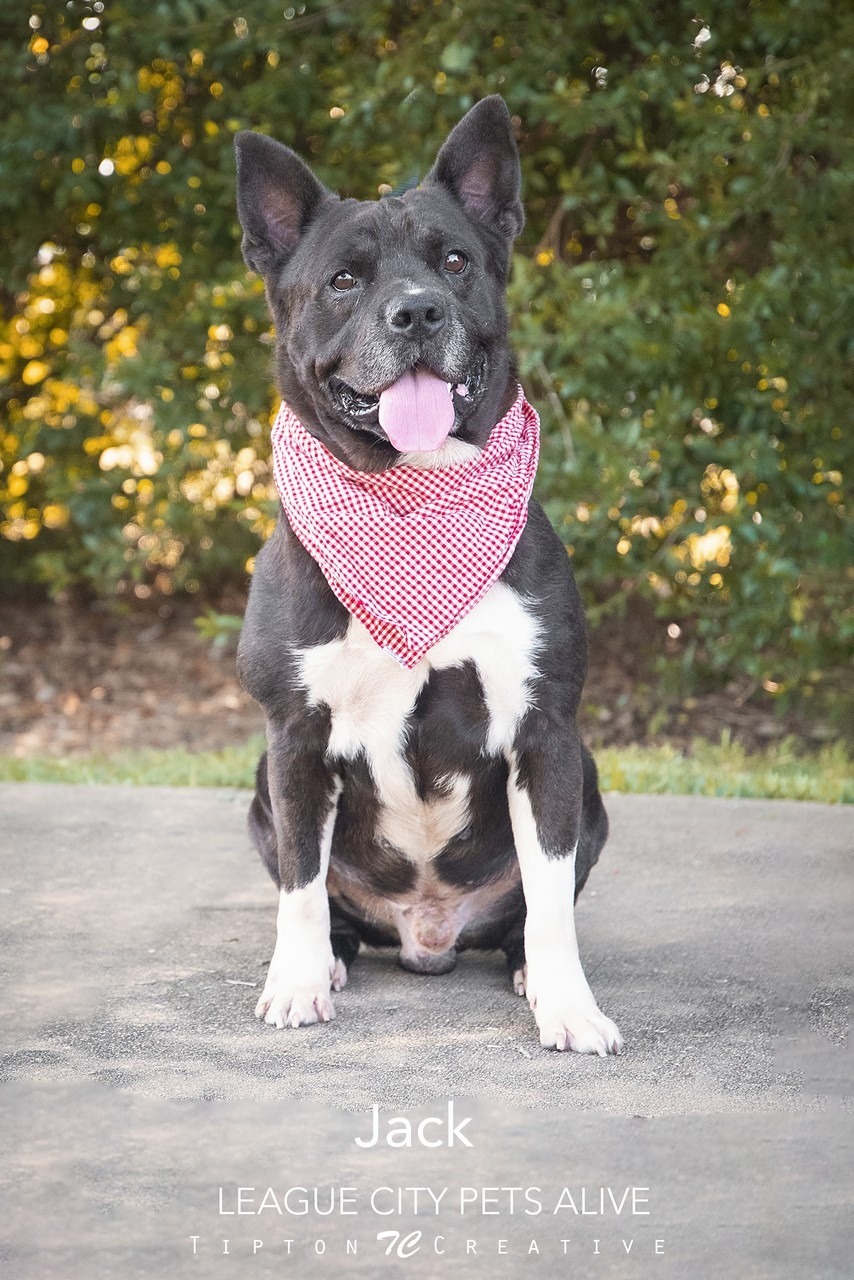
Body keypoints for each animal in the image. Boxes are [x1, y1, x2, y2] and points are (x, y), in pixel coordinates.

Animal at [231, 97, 622, 1059]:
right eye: (343, 280)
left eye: (454, 261)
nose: (416, 313)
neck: (414, 499)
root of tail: (428, 935)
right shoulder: (293, 739)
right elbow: (300, 886)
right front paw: (296, 985)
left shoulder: (547, 735)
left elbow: (552, 898)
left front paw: (568, 1004)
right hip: (259, 792)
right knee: (321, 899)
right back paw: (332, 961)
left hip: (590, 784)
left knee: (528, 915)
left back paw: (522, 969)